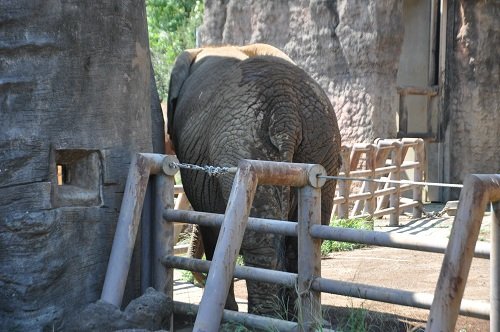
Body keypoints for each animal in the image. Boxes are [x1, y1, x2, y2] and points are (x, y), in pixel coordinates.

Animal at [166, 43, 342, 316]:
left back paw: (262, 316)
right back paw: (291, 316)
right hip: (321, 139)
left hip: (243, 143)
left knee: (259, 238)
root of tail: (286, 109)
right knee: (304, 235)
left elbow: (212, 223)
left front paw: (229, 310)